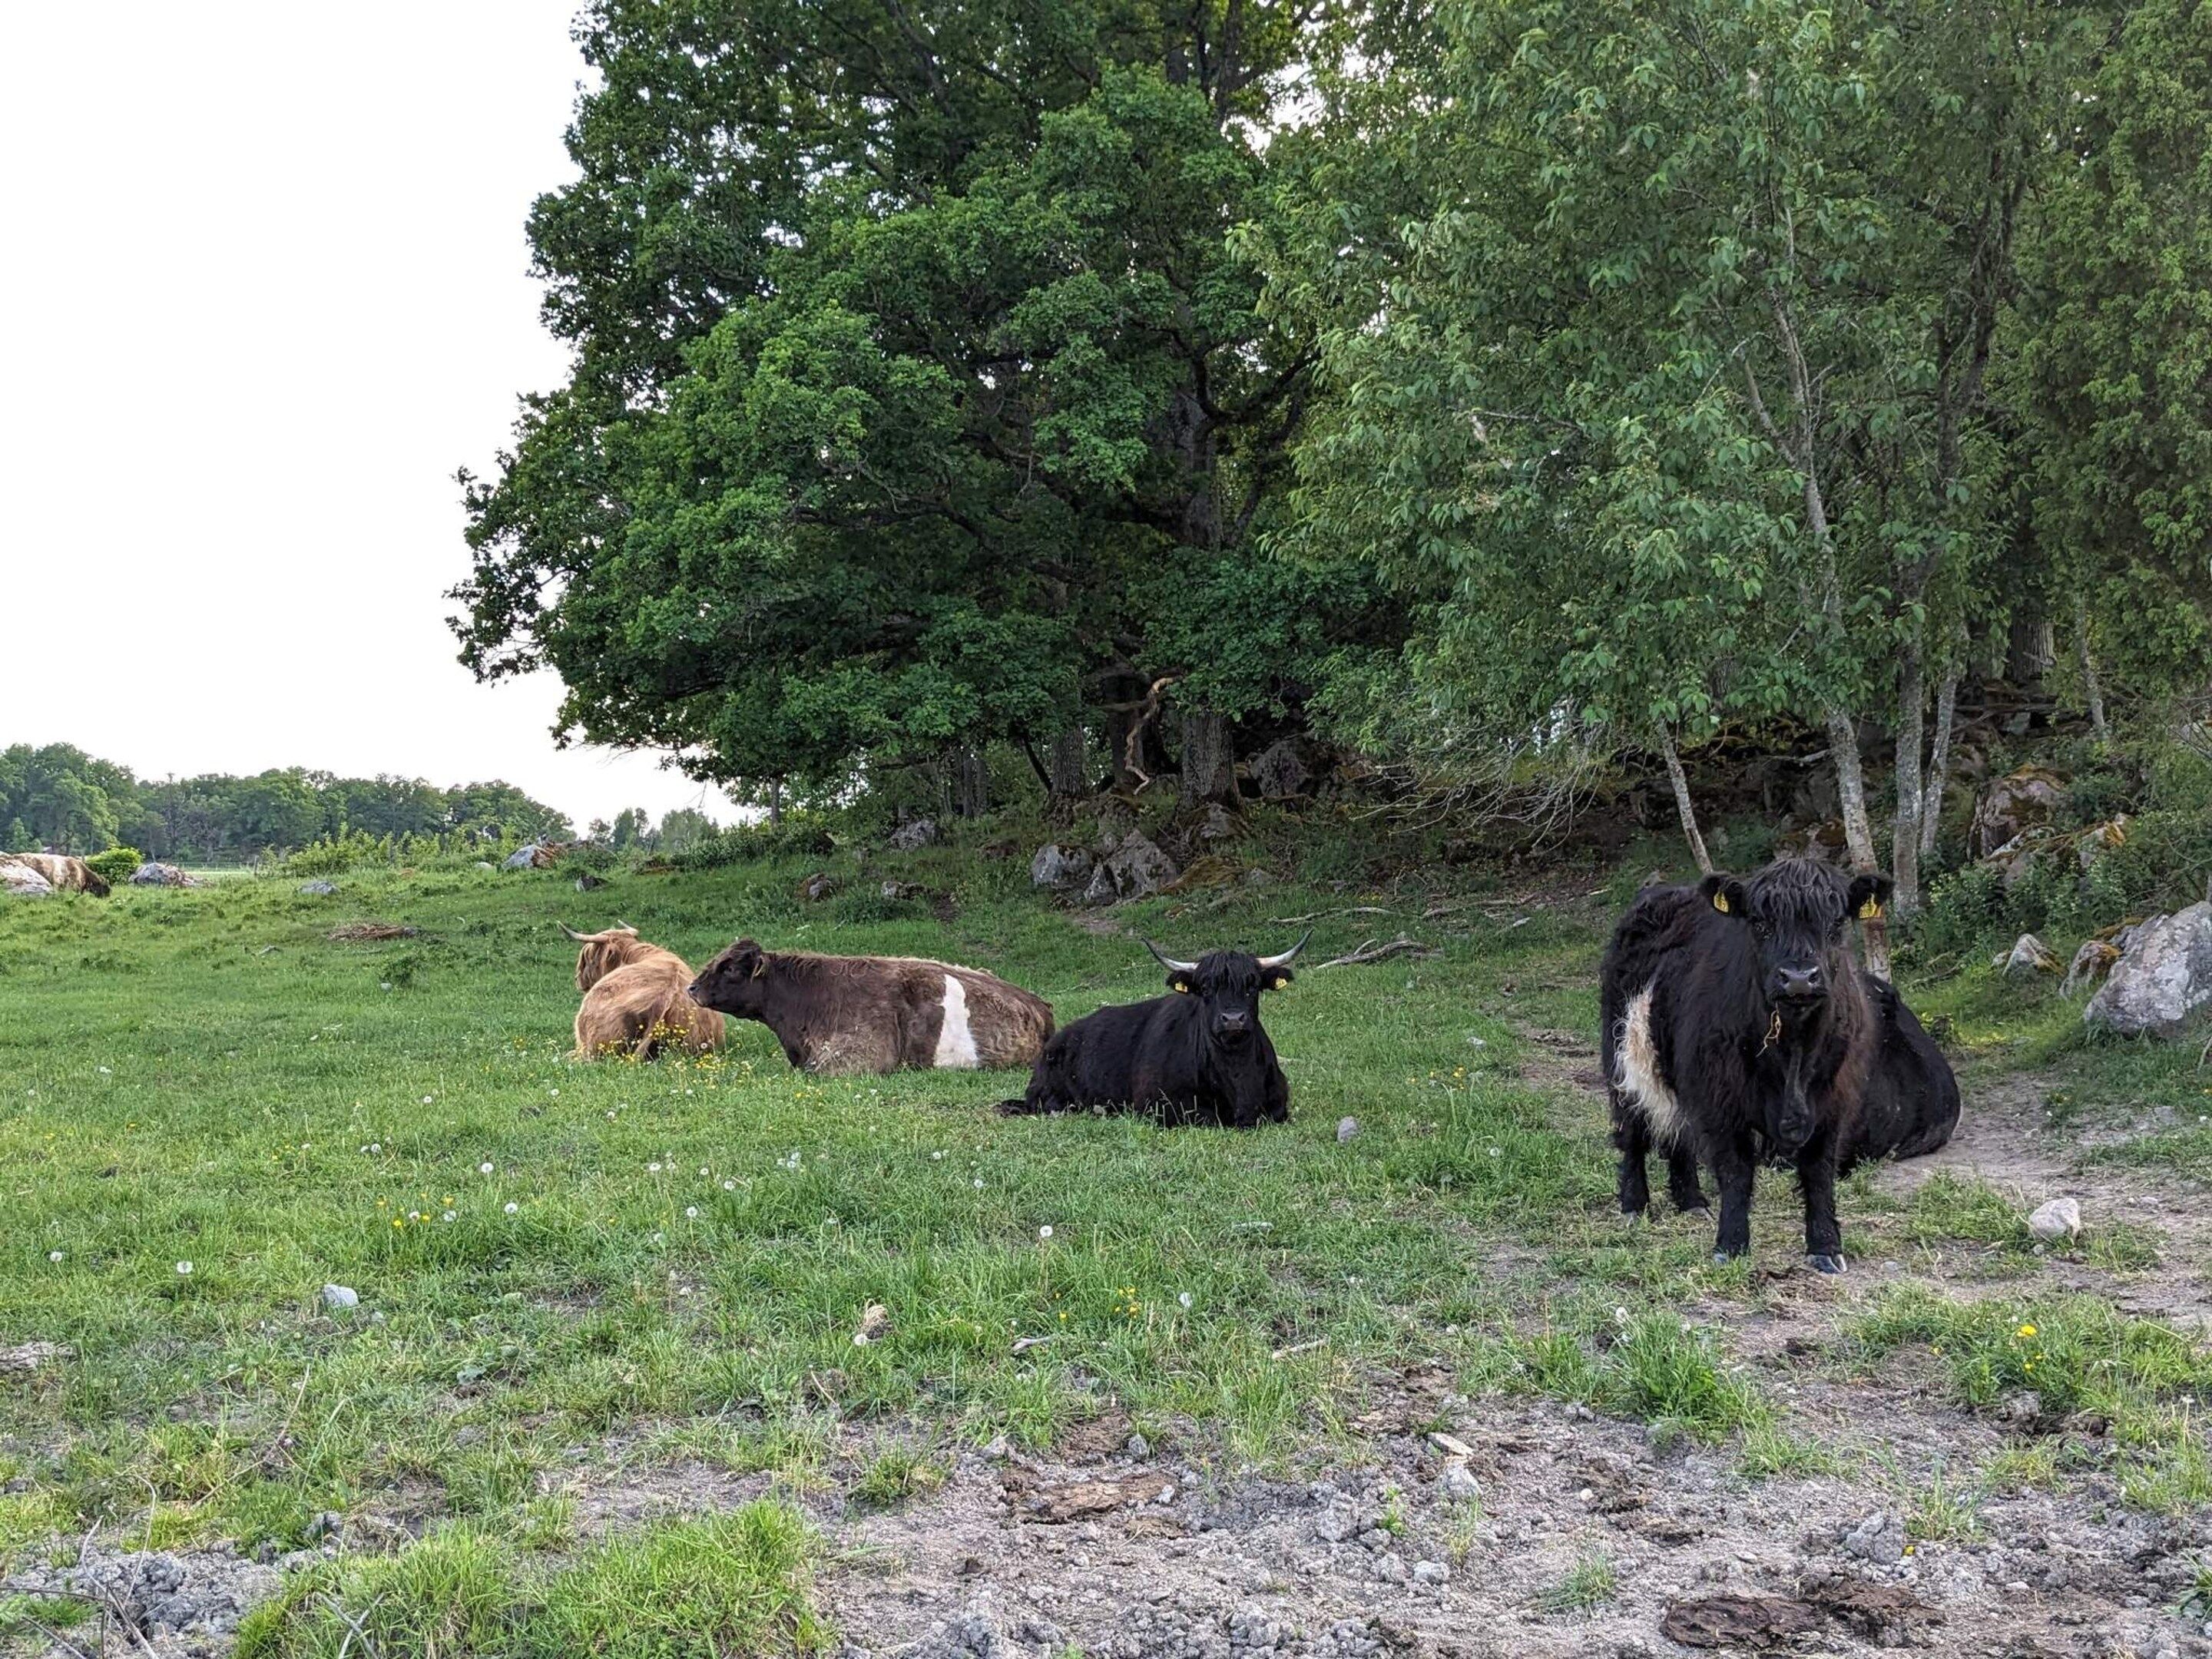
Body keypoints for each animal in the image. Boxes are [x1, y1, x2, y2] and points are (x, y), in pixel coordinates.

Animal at [999, 934, 1307, 1128]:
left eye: (1252, 985)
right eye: (1206, 988)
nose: (1233, 1019)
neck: (1238, 1080)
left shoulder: (1278, 1105)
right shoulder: (1160, 1105)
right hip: (1048, 1095)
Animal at [1600, 859, 1959, 1273]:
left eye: (1836, 922)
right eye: (1759, 923)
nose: (1799, 979)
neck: (1793, 1050)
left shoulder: (1833, 1101)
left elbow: (1819, 1171)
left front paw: (1825, 1247)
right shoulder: (1722, 1099)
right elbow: (1736, 1171)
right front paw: (1730, 1245)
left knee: (1678, 1133)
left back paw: (1692, 1203)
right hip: (1621, 1058)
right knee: (1633, 1131)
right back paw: (1634, 1205)